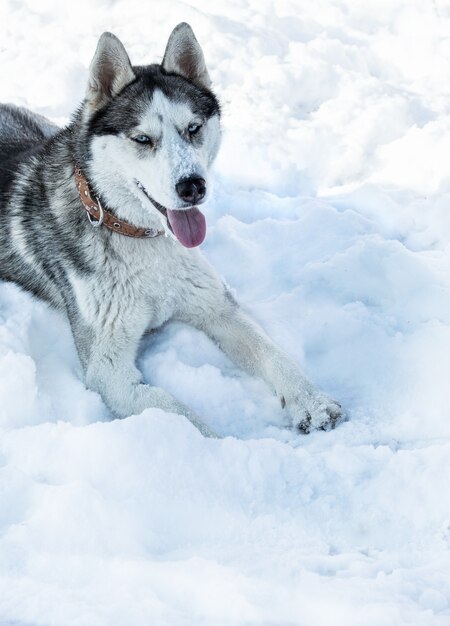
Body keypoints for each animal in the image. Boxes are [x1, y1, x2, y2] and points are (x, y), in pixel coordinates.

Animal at [0, 23, 342, 434]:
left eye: (193, 128)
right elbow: (174, 412)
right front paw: (216, 445)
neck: (137, 235)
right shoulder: (108, 370)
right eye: (143, 139)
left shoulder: (216, 307)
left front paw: (311, 401)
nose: (193, 186)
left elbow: (271, 352)